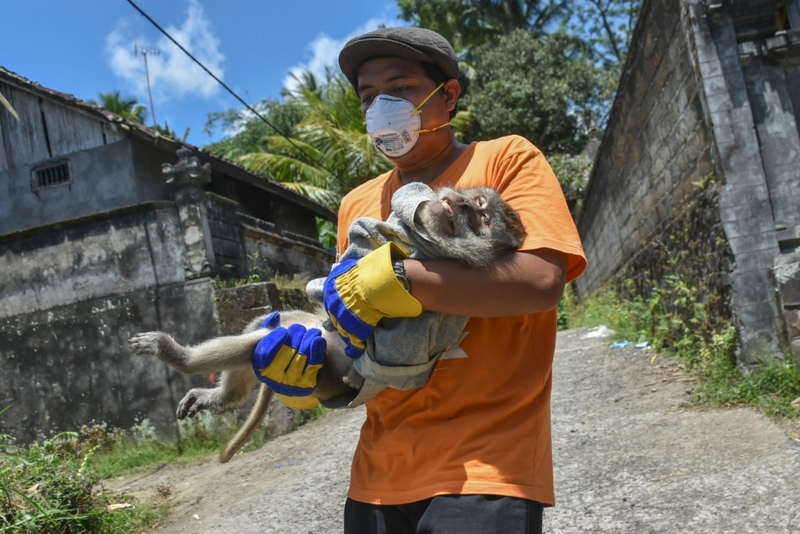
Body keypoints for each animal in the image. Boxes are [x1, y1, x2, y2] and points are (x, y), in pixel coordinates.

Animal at [128, 182, 528, 462]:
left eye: (482, 219)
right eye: (476, 203)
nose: (461, 203)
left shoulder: (452, 300)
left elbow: (405, 345)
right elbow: (365, 241)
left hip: (321, 365)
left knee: (261, 343)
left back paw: (176, 357)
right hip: (301, 320)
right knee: (261, 328)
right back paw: (221, 396)